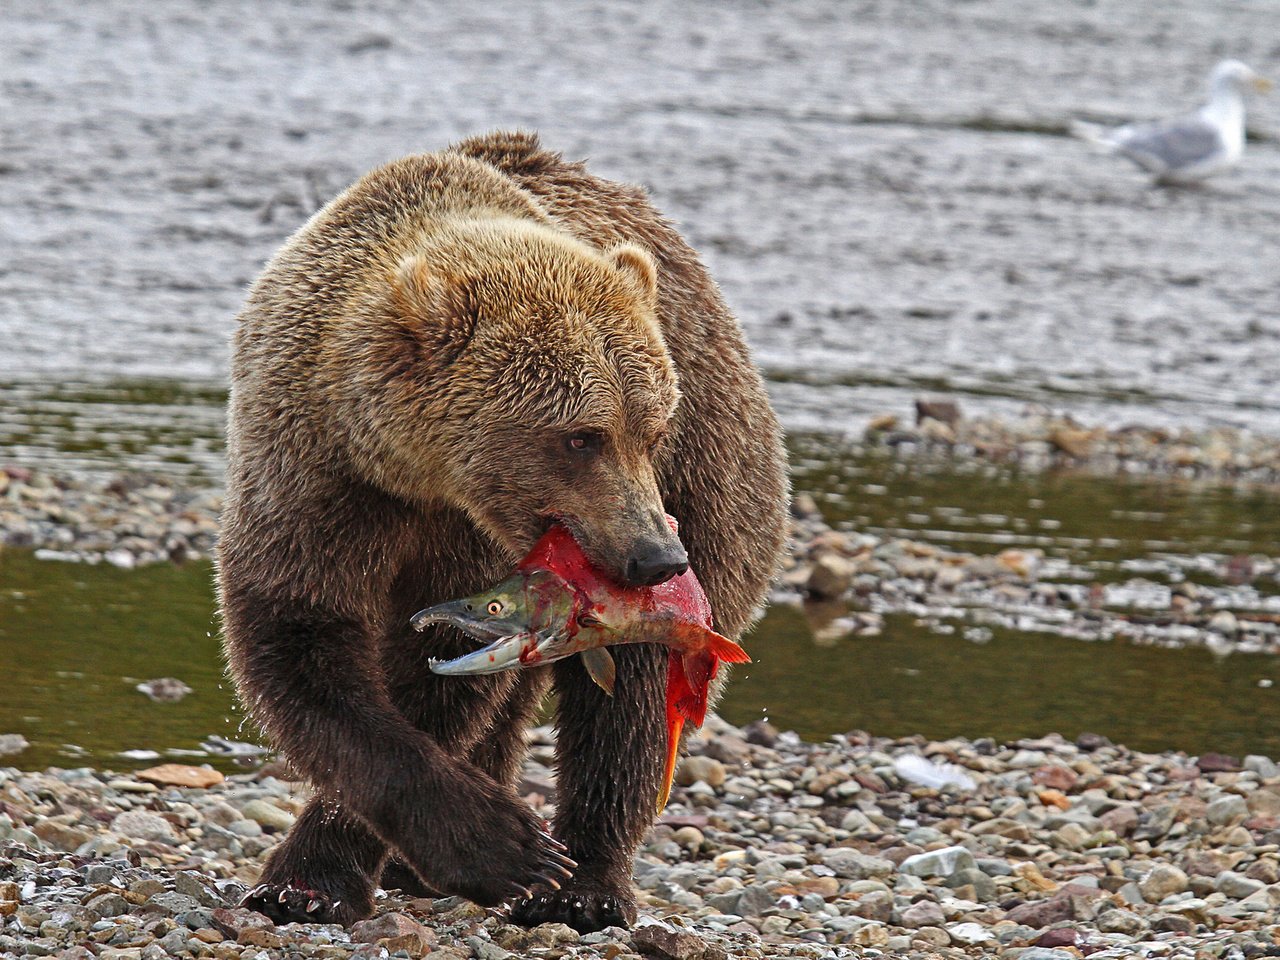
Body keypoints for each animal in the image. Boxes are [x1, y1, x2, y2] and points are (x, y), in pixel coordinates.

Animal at [220, 131, 788, 936]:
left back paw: (586, 886)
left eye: (650, 430)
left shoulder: (477, 538)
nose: (656, 557)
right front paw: (318, 882)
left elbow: (437, 670)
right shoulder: (314, 471)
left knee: (631, 706)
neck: (414, 471)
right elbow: (302, 638)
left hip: (716, 492)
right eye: (581, 437)